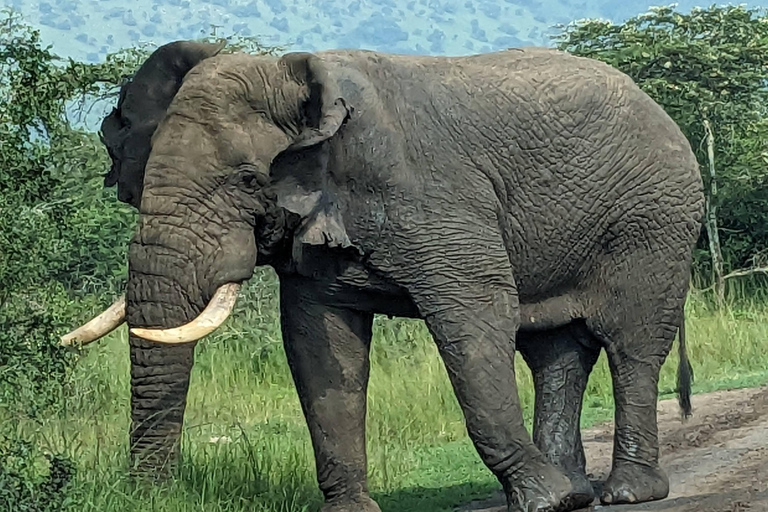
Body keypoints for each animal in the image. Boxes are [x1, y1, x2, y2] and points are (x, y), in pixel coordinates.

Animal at [63, 41, 704, 512]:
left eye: (248, 181)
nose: (149, 495)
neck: (295, 84)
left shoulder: (430, 193)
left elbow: (475, 320)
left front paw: (544, 503)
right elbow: (319, 346)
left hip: (654, 222)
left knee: (632, 345)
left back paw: (625, 493)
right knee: (554, 351)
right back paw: (577, 493)